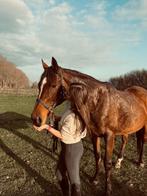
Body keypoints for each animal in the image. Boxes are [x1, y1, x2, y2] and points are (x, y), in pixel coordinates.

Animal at [31, 57, 147, 195]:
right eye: (39, 85)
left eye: (53, 85)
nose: (36, 119)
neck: (98, 101)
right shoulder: (95, 135)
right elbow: (97, 157)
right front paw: (95, 179)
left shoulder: (109, 136)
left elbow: (107, 163)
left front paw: (107, 190)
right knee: (125, 140)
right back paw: (119, 162)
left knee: (143, 141)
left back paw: (140, 162)